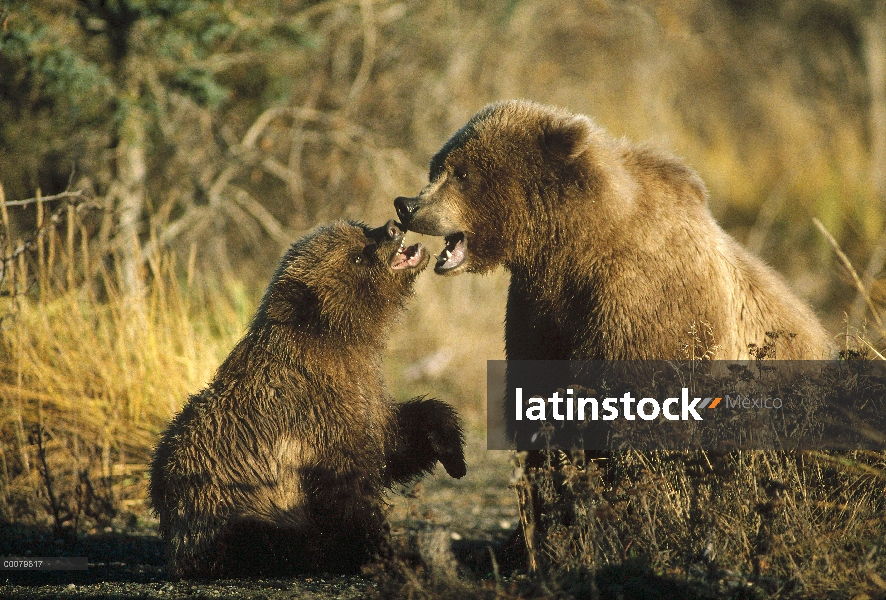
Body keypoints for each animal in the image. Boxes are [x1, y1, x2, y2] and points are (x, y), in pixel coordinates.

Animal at [149, 219, 468, 576]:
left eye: (360, 227)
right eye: (356, 256)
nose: (391, 227)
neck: (341, 344)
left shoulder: (366, 397)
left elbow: (399, 439)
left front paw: (453, 455)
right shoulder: (312, 424)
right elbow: (349, 500)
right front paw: (386, 552)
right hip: (218, 510)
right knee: (265, 539)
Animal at [398, 100, 836, 360]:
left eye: (463, 174)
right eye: (436, 166)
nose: (407, 205)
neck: (574, 247)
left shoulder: (641, 300)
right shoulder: (539, 305)